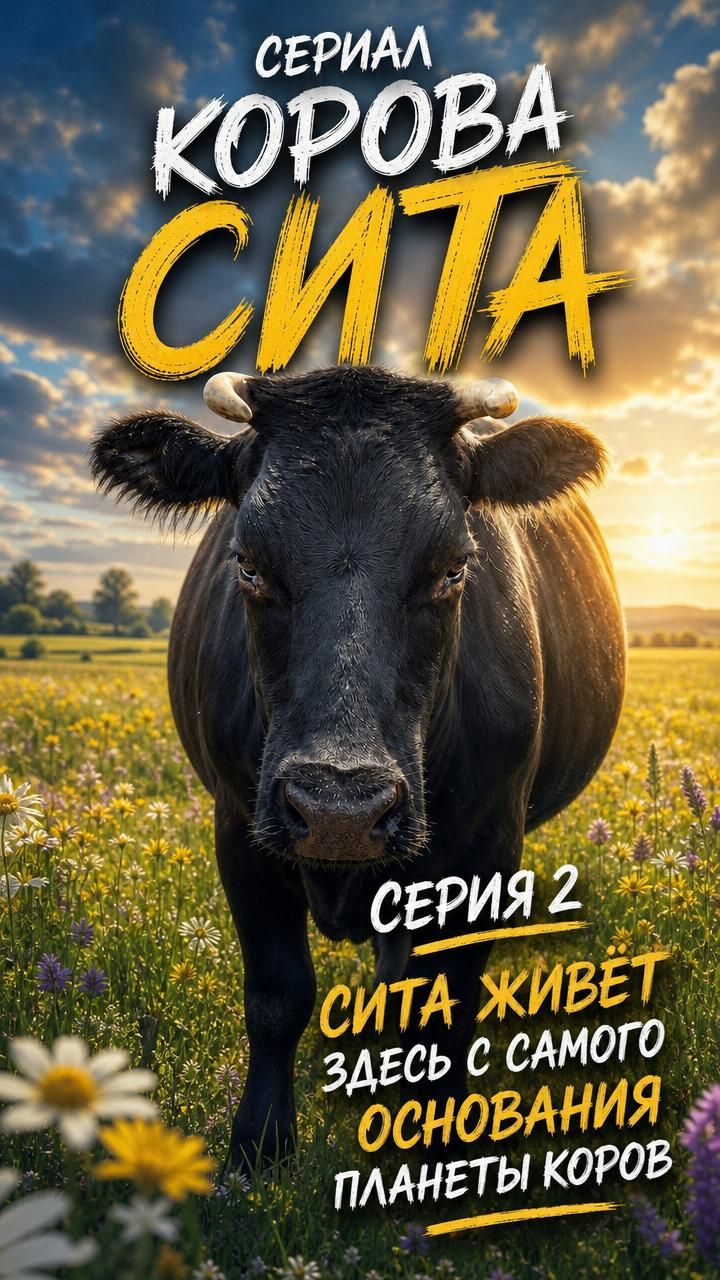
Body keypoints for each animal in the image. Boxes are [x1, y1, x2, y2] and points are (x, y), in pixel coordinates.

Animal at [91, 364, 625, 1167]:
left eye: (454, 568)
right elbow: (277, 995)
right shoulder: (238, 829)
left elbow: (443, 1008)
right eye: (248, 564)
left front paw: (433, 1152)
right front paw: (258, 1144)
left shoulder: (486, 850)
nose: (339, 810)